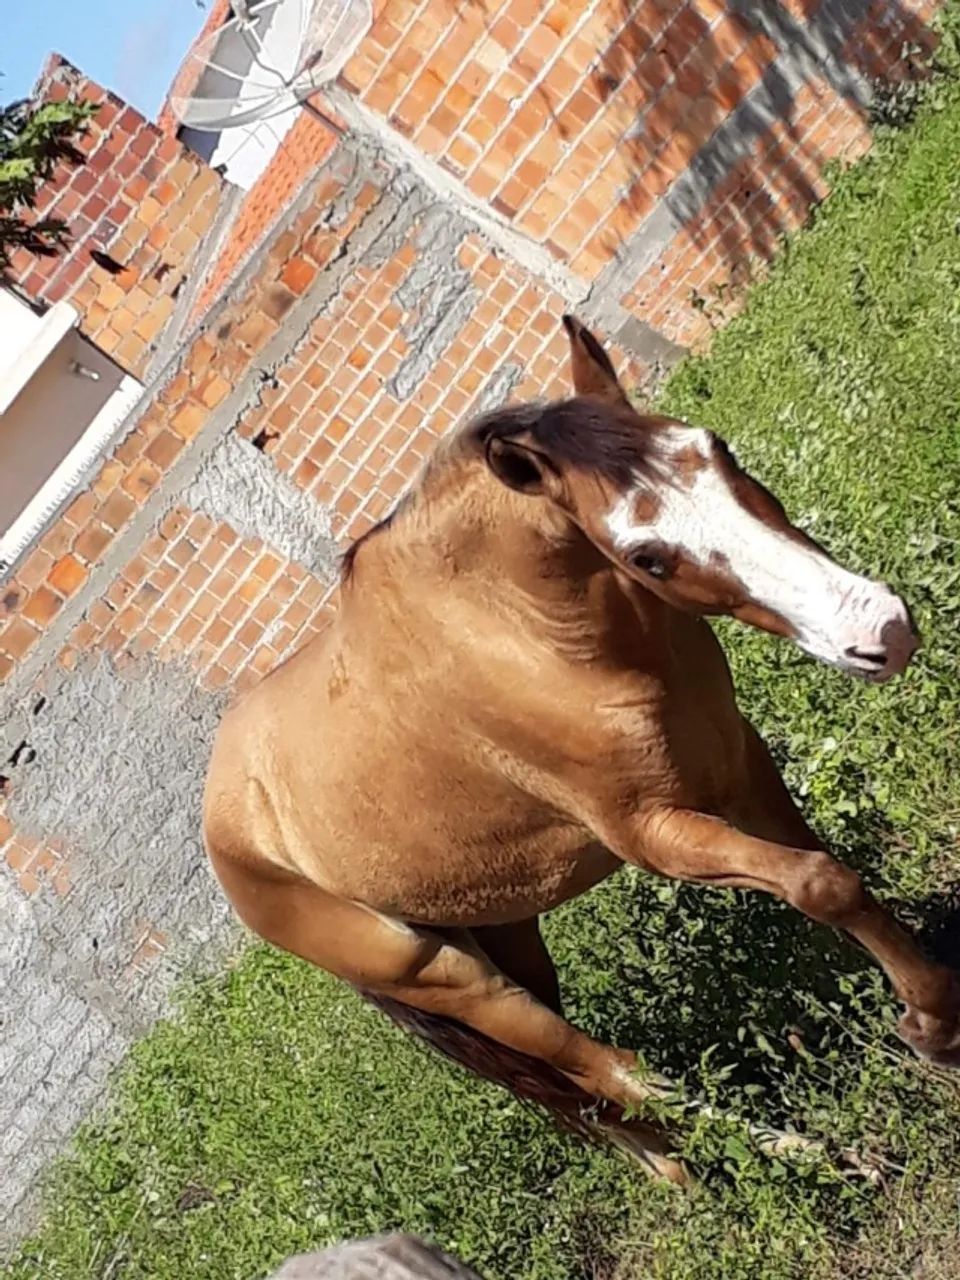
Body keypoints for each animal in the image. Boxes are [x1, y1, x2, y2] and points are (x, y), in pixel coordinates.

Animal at [203, 316, 960, 1183]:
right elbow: (818, 883)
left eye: (716, 448)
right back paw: (804, 1158)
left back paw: (677, 1176)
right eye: (646, 556)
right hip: (453, 980)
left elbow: (834, 879)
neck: (545, 644)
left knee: (581, 1088)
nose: (877, 629)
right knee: (609, 1068)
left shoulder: (736, 764)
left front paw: (937, 1016)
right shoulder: (655, 834)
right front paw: (932, 1030)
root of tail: (227, 831)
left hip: (509, 937)